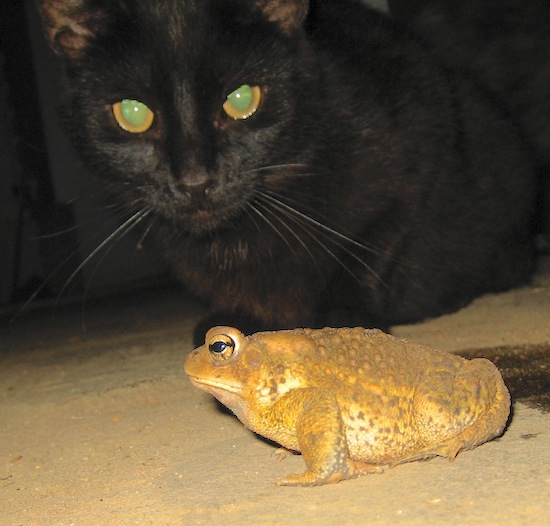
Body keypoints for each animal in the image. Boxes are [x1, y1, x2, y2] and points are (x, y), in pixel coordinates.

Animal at [41, 0, 540, 344]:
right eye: (132, 113)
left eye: (242, 99)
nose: (195, 180)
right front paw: (238, 320)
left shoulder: (418, 135)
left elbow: (367, 251)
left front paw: (344, 322)